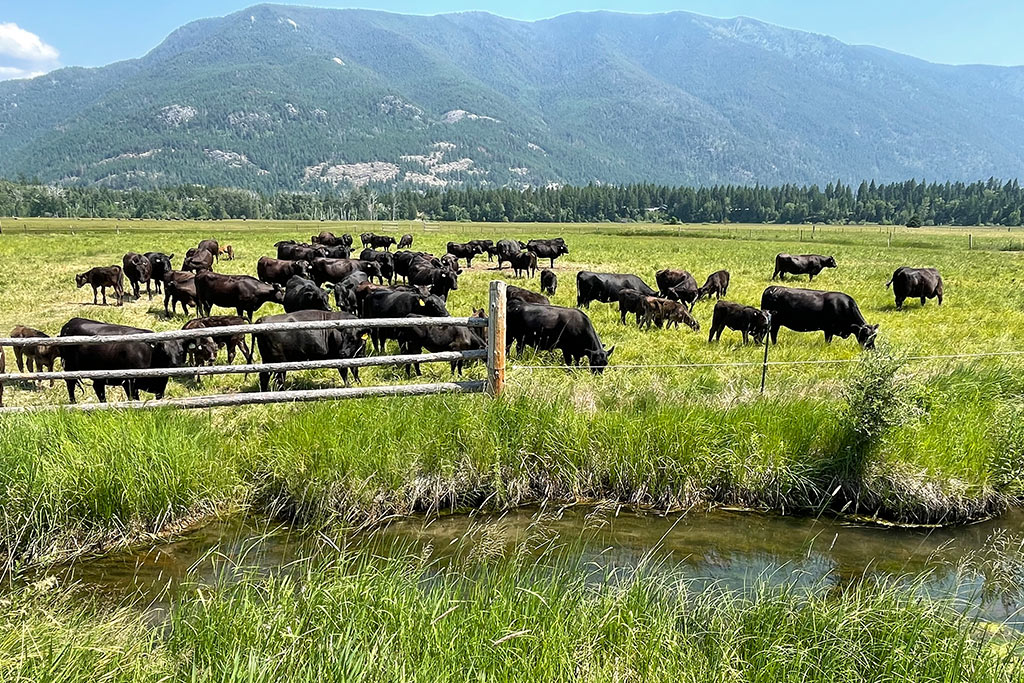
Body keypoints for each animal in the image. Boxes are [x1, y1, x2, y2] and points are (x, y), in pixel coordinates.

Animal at [58, 317, 188, 403]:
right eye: (163, 351)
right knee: (70, 385)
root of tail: (71, 322)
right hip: (70, 367)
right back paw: (73, 403)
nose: (174, 365)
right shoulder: (129, 383)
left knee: (98, 388)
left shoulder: (160, 387)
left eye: (181, 352)